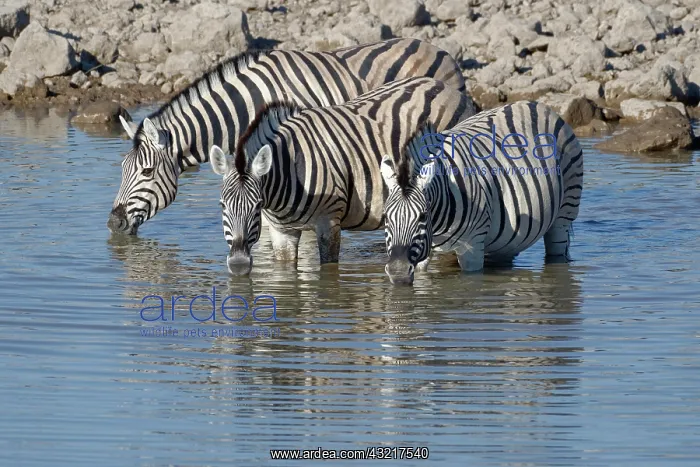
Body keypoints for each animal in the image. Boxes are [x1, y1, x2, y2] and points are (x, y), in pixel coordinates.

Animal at [208, 76, 474, 275]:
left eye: (257, 206)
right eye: (222, 205)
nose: (239, 265)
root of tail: (448, 88)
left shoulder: (329, 222)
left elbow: (328, 268)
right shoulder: (281, 231)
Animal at [379, 101, 583, 285]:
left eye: (423, 216)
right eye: (386, 217)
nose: (398, 272)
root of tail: (537, 105)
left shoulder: (472, 246)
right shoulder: (424, 250)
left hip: (564, 213)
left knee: (557, 252)